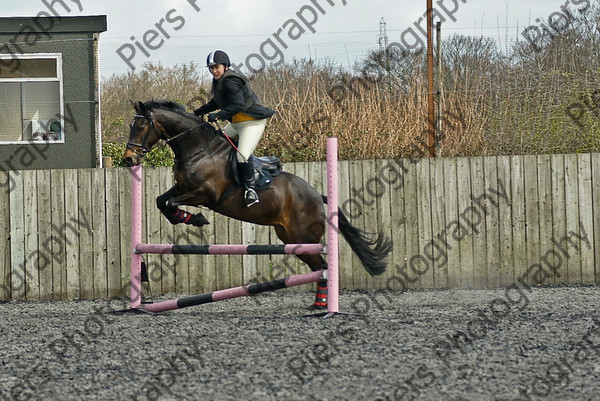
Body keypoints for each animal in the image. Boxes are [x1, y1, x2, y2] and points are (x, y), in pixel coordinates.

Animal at [123, 101, 394, 310]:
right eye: (131, 126)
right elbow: (162, 201)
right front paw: (185, 218)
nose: (129, 159)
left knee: (324, 266)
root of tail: (317, 196)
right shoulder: (182, 188)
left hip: (303, 239)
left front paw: (195, 219)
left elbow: (170, 203)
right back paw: (319, 304)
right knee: (319, 267)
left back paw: (322, 307)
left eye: (142, 126)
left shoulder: (206, 195)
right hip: (291, 239)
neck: (198, 149)